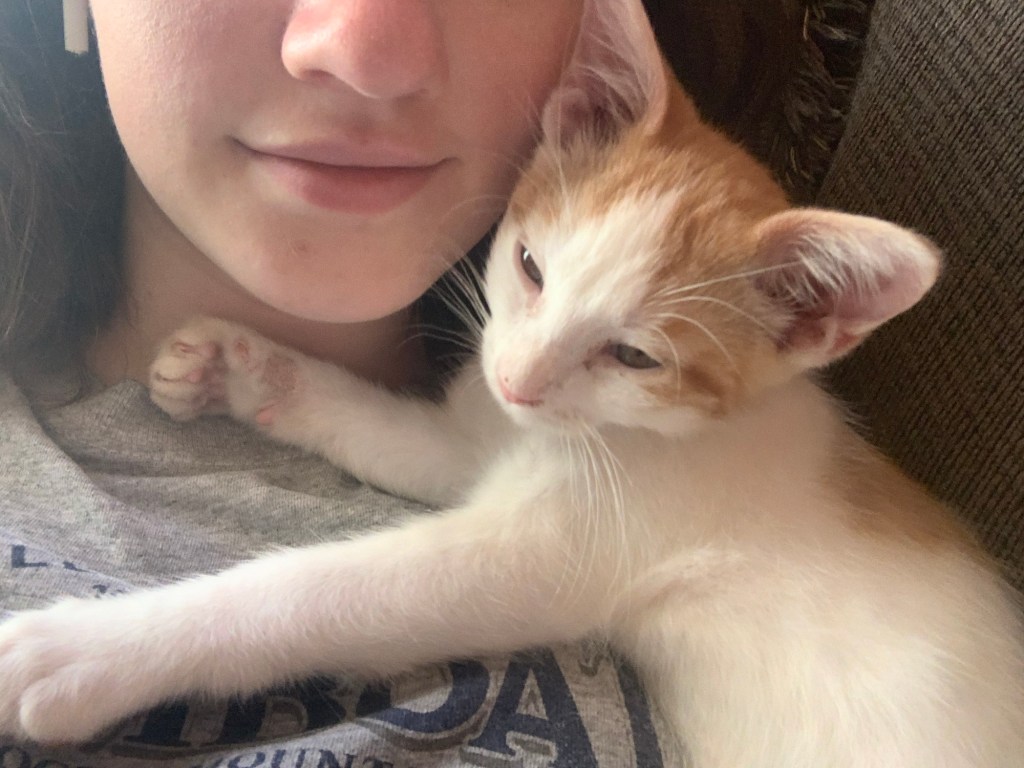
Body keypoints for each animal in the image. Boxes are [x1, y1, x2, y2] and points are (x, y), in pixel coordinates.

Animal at [1, 1, 1023, 765]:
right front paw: (235, 365)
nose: (516, 379)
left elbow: (304, 596)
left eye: (636, 358)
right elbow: (402, 436)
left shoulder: (564, 544)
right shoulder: (492, 437)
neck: (666, 432)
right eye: (531, 266)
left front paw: (77, 652)